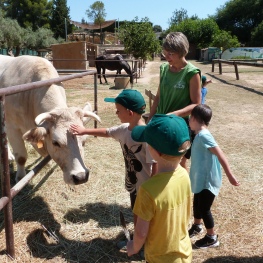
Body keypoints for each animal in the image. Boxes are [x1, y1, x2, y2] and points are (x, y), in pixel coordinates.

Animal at [0, 54, 101, 185]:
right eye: (56, 142)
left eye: (84, 141)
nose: (80, 176)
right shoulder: (12, 127)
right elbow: (21, 157)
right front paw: (20, 177)